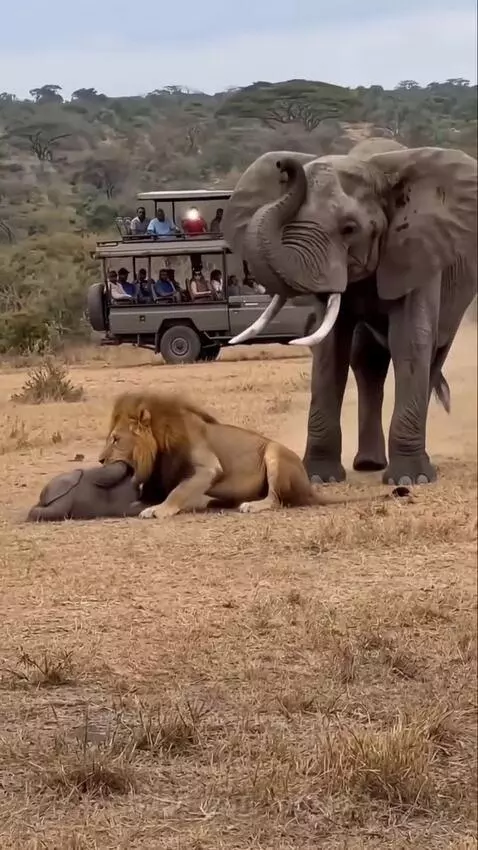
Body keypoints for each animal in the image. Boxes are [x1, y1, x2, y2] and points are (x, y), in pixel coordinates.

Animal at [98, 390, 410, 519]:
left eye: (116, 439)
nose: (100, 460)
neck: (159, 445)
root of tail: (308, 487)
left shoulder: (208, 467)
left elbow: (179, 491)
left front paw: (158, 510)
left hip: (273, 453)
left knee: (276, 500)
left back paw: (252, 505)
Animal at [222, 138, 477, 485]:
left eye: (349, 229)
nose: (284, 166)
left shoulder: (417, 252)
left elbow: (410, 342)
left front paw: (410, 481)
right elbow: (330, 349)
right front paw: (319, 478)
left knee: (427, 356)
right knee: (367, 361)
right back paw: (369, 464)